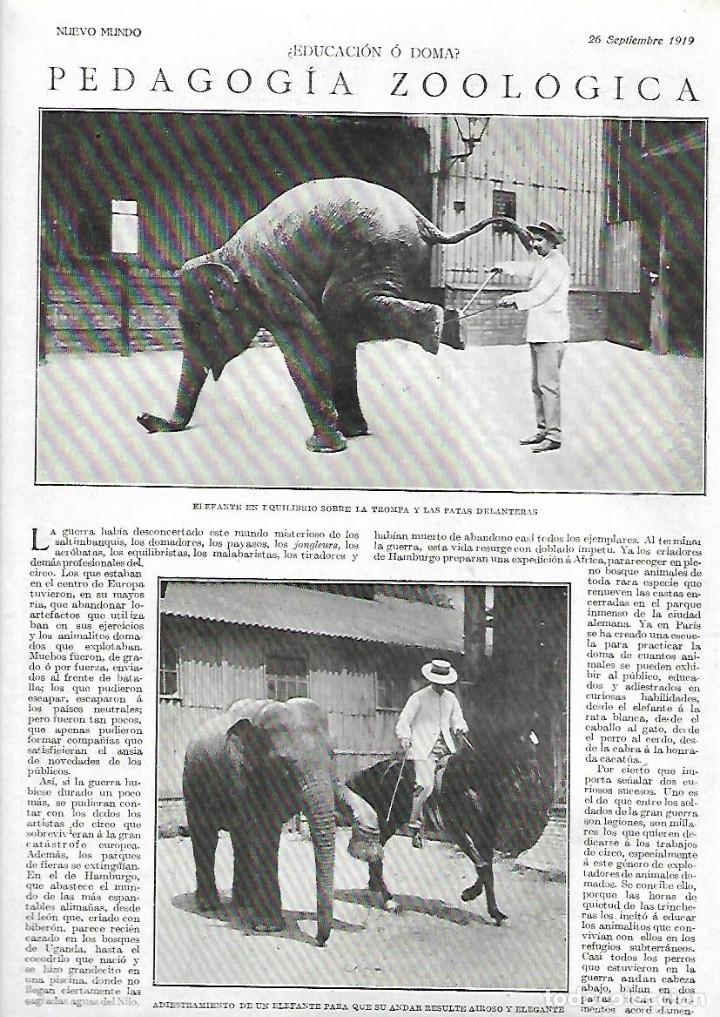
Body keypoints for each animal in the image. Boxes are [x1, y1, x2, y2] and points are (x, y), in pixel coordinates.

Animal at [138, 177, 530, 452]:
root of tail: (423, 221)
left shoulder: (271, 286)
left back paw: (441, 329)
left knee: (343, 305)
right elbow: (332, 343)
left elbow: (306, 340)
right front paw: (351, 435)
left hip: (370, 250)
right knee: (345, 317)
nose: (143, 418)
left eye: (194, 324)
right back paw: (452, 329)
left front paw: (322, 447)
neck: (224, 252)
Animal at [183, 696, 364, 946]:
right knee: (205, 836)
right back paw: (209, 905)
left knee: (240, 838)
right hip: (192, 783)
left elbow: (266, 832)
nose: (320, 940)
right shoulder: (241, 772)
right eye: (285, 766)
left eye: (332, 755)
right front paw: (268, 927)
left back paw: (243, 903)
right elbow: (264, 832)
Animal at [345, 723, 551, 926]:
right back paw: (389, 900)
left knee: (375, 855)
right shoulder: (458, 832)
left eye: (535, 747)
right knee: (375, 855)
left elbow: (487, 869)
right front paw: (469, 895)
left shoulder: (484, 834)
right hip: (386, 822)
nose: (536, 780)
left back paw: (376, 888)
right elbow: (483, 866)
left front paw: (494, 911)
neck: (471, 781)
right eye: (519, 747)